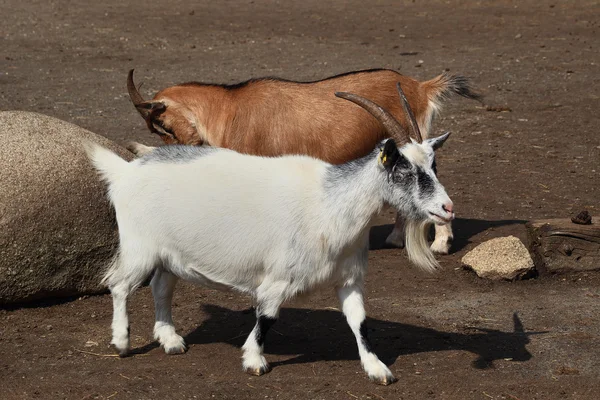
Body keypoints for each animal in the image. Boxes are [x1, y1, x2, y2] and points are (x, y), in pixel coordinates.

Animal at [86, 90, 454, 384]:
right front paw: (254, 360)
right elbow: (268, 316)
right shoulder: (277, 278)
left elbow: (359, 321)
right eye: (403, 170)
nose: (447, 208)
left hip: (169, 253)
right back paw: (122, 342)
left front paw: (377, 369)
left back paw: (171, 341)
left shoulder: (349, 278)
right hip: (140, 247)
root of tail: (126, 171)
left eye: (434, 166)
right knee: (119, 284)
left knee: (161, 286)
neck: (330, 204)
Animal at [127, 69, 482, 253]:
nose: (179, 151)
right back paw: (397, 237)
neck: (229, 111)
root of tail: (419, 86)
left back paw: (440, 243)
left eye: (163, 126)